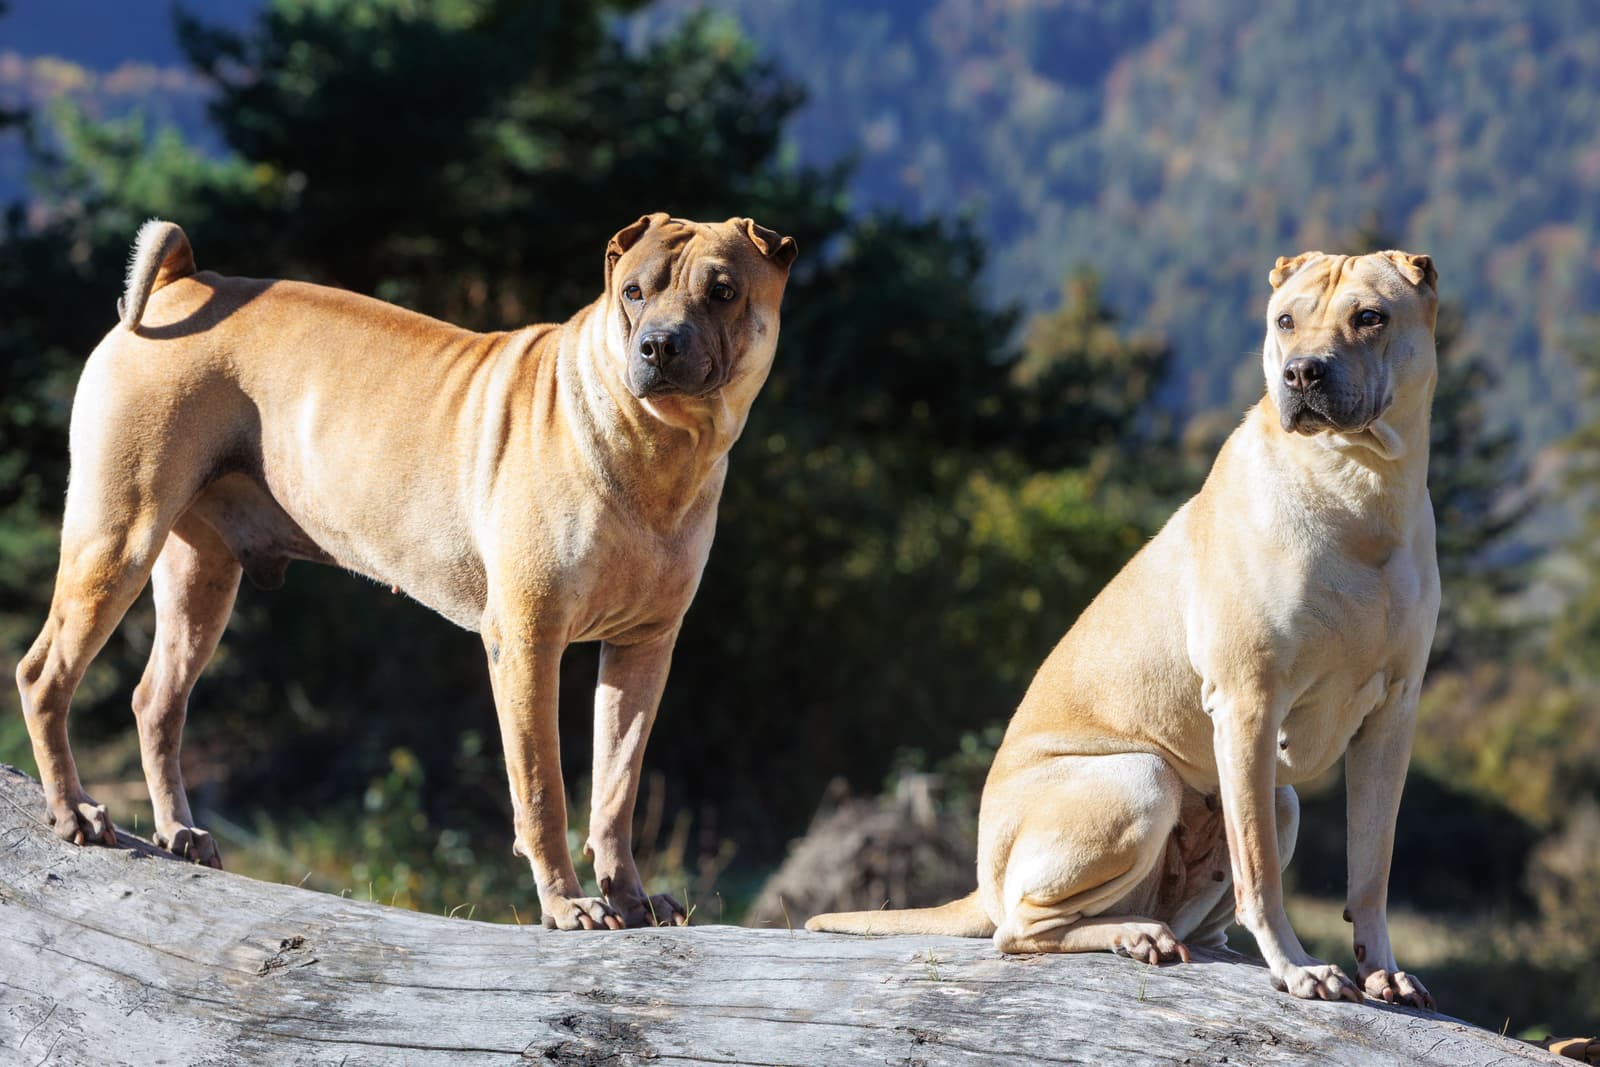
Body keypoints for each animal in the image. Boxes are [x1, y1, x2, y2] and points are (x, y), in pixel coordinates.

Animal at [7, 212, 793, 927]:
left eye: (723, 291)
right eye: (633, 291)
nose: (658, 344)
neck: (661, 446)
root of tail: (182, 281)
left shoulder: (643, 647)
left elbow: (615, 787)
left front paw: (629, 897)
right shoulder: (528, 641)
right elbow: (543, 786)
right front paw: (567, 904)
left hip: (199, 576)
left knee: (157, 700)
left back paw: (179, 831)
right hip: (118, 536)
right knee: (45, 673)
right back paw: (74, 811)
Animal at [812, 251, 1440, 1011]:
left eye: (1370, 317)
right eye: (1286, 321)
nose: (1302, 374)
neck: (1359, 482)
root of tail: (980, 876)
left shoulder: (1392, 717)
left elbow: (1371, 868)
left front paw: (1383, 969)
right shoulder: (1249, 704)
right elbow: (1261, 869)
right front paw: (1297, 969)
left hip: (1274, 799)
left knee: (1187, 914)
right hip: (1142, 778)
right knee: (1021, 926)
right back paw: (1134, 935)